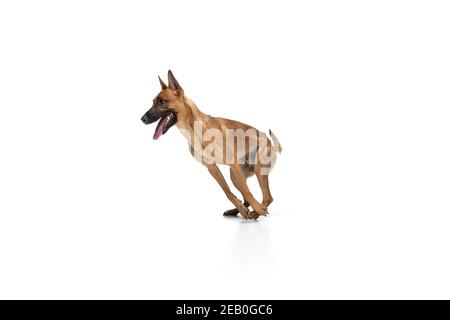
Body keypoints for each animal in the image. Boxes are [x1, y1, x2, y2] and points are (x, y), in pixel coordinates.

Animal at [141, 70, 282, 220]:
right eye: (153, 102)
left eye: (162, 101)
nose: (142, 119)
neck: (195, 128)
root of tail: (270, 141)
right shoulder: (212, 168)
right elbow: (228, 192)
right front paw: (243, 210)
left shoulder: (232, 164)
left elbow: (247, 192)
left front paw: (258, 209)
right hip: (235, 176)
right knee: (247, 198)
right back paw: (240, 211)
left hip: (257, 170)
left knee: (267, 197)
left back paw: (257, 211)